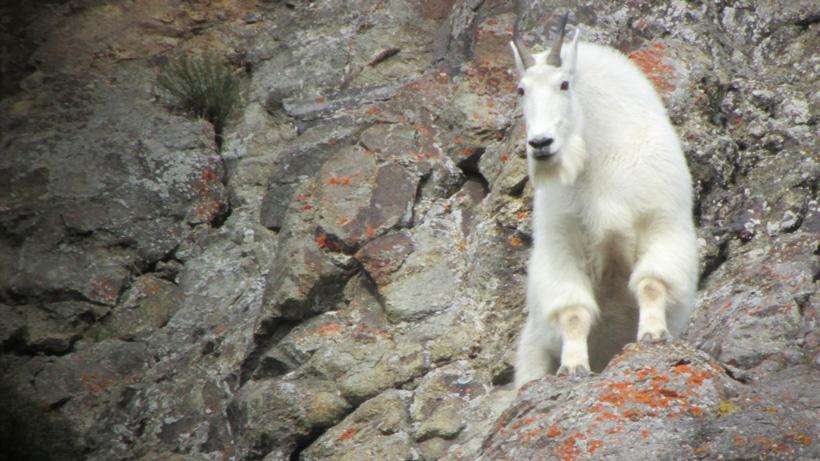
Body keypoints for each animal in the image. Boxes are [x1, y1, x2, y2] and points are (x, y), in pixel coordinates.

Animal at [510, 14, 698, 388]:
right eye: (522, 90)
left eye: (564, 84)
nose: (540, 143)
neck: (598, 157)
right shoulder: (563, 244)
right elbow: (573, 313)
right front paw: (573, 367)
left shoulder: (661, 223)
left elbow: (652, 284)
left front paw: (653, 334)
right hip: (531, 354)